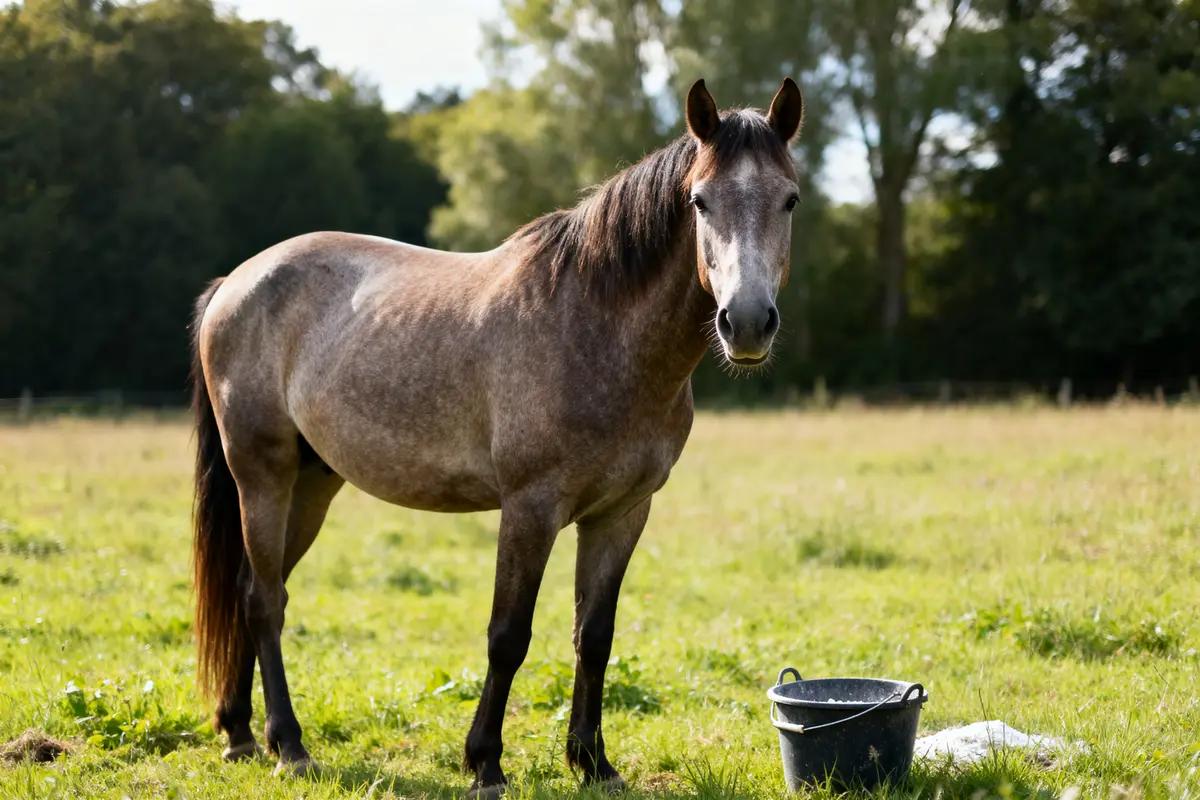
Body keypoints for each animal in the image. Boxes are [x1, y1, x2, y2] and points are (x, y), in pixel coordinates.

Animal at [189, 77, 804, 797]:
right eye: (699, 201)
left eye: (789, 199)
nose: (747, 323)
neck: (595, 328)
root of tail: (234, 283)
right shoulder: (530, 508)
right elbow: (508, 636)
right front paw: (485, 762)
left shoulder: (622, 513)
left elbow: (595, 636)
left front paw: (593, 763)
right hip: (263, 475)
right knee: (263, 601)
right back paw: (288, 745)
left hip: (312, 486)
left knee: (252, 591)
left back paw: (238, 732)